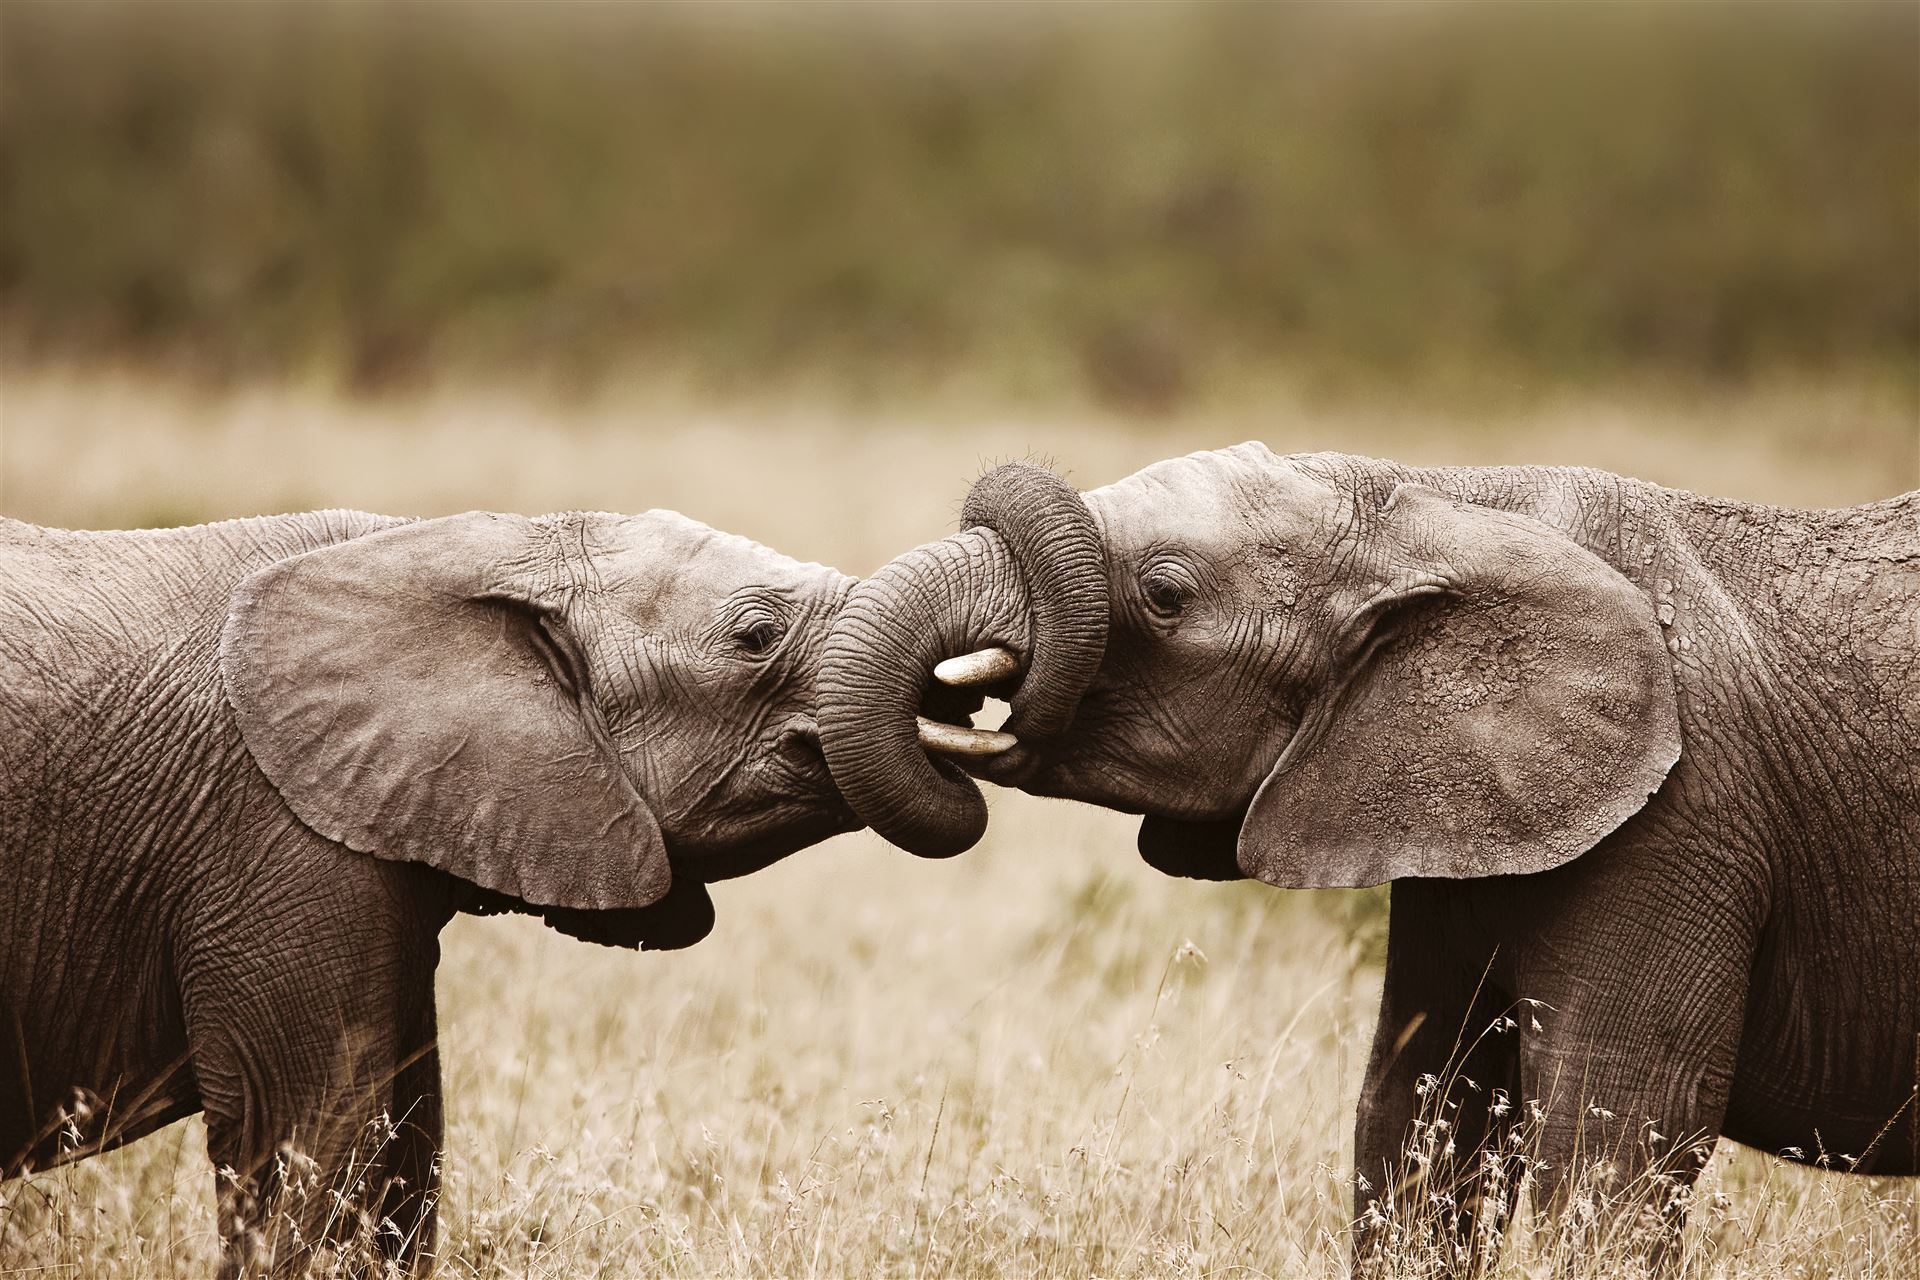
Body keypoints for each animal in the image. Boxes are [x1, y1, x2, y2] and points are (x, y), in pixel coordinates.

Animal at [816, 448, 1920, 1261]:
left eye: (1166, 594)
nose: (964, 706)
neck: (1441, 500)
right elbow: (1421, 1115)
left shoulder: (1678, 823)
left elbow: (1611, 1143)